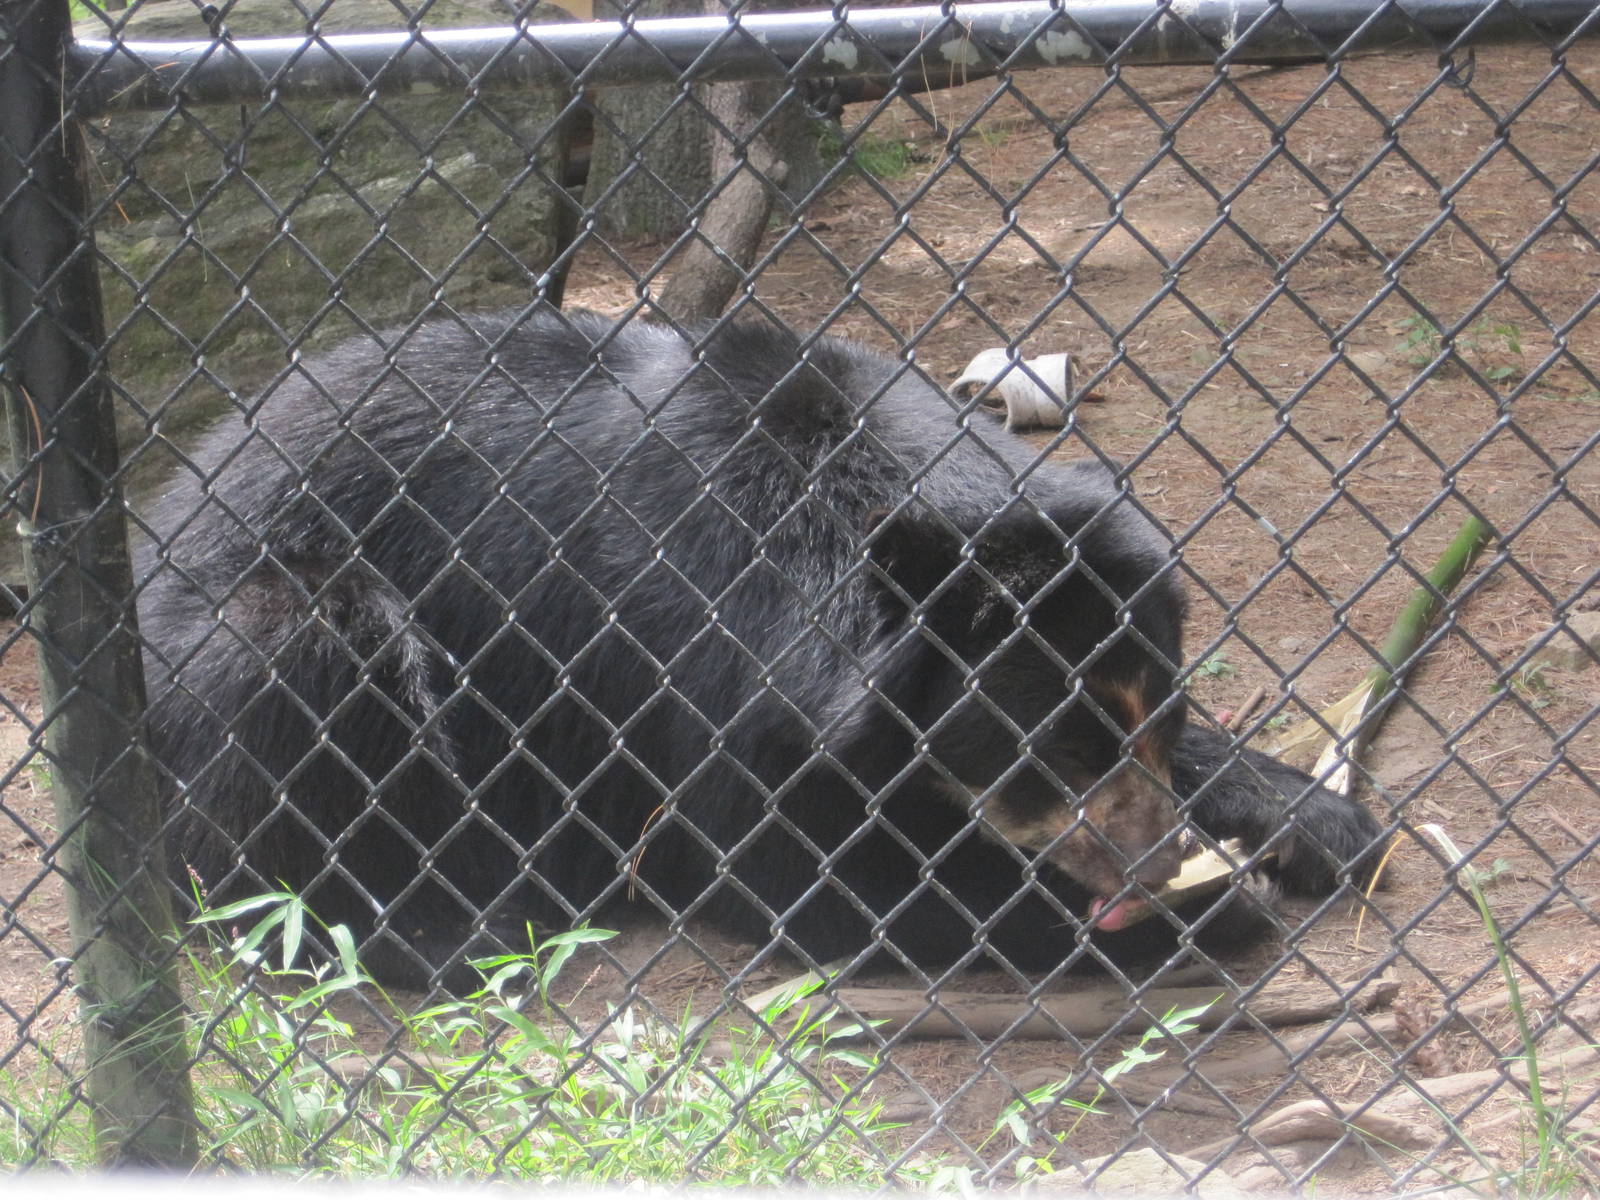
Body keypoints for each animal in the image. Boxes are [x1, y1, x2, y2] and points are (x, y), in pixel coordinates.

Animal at [138, 309, 1382, 990]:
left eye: (1155, 725)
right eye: (1059, 754)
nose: (1154, 860)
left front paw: (1317, 825)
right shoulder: (692, 652)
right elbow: (794, 869)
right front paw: (1216, 909)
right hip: (251, 635)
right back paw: (448, 932)